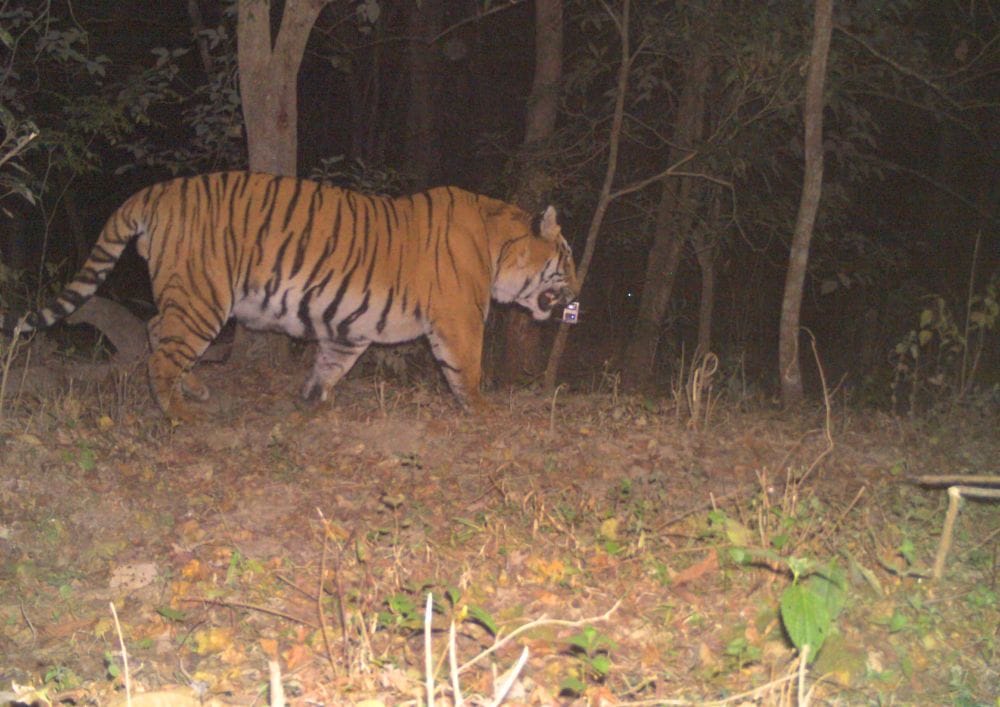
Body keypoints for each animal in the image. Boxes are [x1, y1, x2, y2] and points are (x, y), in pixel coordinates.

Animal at [2, 171, 578, 419]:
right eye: (568, 256)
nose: (580, 287)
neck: (498, 246)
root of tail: (158, 189)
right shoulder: (458, 320)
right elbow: (469, 370)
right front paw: (482, 411)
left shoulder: (353, 325)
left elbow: (332, 361)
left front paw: (313, 399)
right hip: (203, 297)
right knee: (162, 355)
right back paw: (179, 413)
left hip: (189, 297)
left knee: (155, 331)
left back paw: (195, 391)